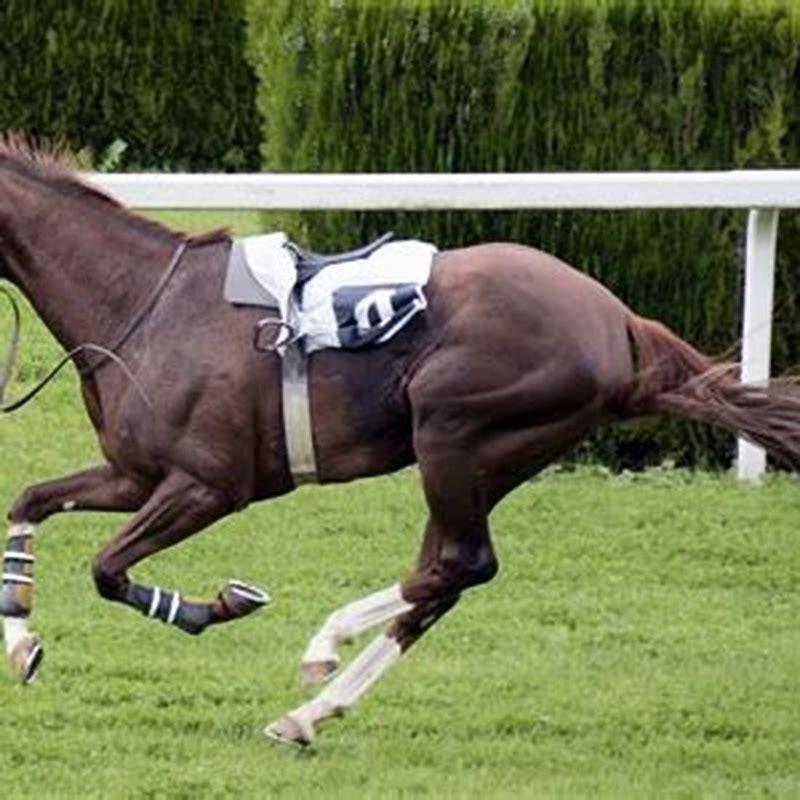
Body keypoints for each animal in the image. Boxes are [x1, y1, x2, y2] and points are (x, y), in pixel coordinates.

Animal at [1, 137, 799, 748]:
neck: (143, 304)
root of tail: (620, 323)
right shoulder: (134, 474)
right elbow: (30, 502)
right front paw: (22, 643)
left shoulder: (208, 485)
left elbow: (107, 567)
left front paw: (217, 605)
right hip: (484, 460)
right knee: (444, 578)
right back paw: (307, 714)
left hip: (451, 431)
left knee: (460, 564)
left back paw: (324, 646)